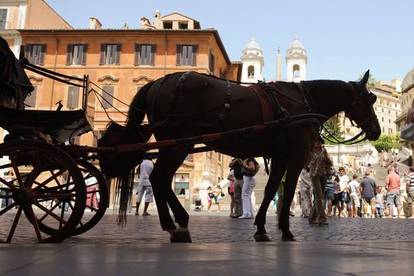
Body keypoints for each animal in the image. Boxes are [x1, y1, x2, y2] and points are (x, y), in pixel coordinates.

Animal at [98, 70, 382, 242]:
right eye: (371, 99)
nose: (377, 131)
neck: (302, 101)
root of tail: (158, 83)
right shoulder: (296, 155)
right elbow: (288, 191)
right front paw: (286, 230)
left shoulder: (279, 156)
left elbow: (271, 190)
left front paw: (262, 229)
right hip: (177, 144)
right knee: (159, 179)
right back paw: (175, 224)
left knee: (162, 180)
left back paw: (178, 223)